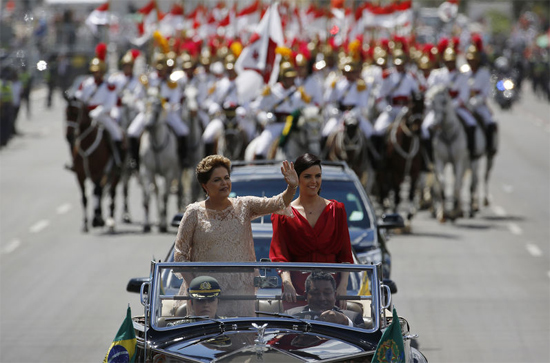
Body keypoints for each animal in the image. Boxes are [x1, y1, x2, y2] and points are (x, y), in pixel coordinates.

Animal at [70, 101, 122, 233]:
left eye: (75, 113)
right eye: (66, 112)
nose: (69, 135)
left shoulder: (97, 173)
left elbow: (96, 192)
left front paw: (97, 220)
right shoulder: (80, 175)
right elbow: (84, 197)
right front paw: (85, 223)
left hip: (114, 175)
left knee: (111, 194)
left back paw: (109, 220)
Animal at [140, 91, 183, 233]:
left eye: (158, 106)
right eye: (145, 105)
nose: (147, 125)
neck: (157, 144)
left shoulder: (168, 172)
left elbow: (165, 196)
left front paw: (164, 225)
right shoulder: (147, 171)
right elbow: (148, 197)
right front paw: (146, 225)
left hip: (177, 172)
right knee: (156, 192)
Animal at [376, 92, 426, 226]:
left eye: (424, 107)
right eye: (411, 106)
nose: (417, 130)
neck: (407, 144)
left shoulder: (414, 173)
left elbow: (411, 193)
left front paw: (409, 216)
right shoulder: (396, 172)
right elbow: (397, 194)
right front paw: (395, 214)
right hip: (383, 171)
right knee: (384, 187)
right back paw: (384, 204)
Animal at [426, 85, 470, 223]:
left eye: (445, 102)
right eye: (432, 102)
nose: (434, 125)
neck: (447, 135)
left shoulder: (459, 161)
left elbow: (456, 186)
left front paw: (456, 212)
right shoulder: (439, 160)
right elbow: (442, 184)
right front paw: (442, 213)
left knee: (459, 183)